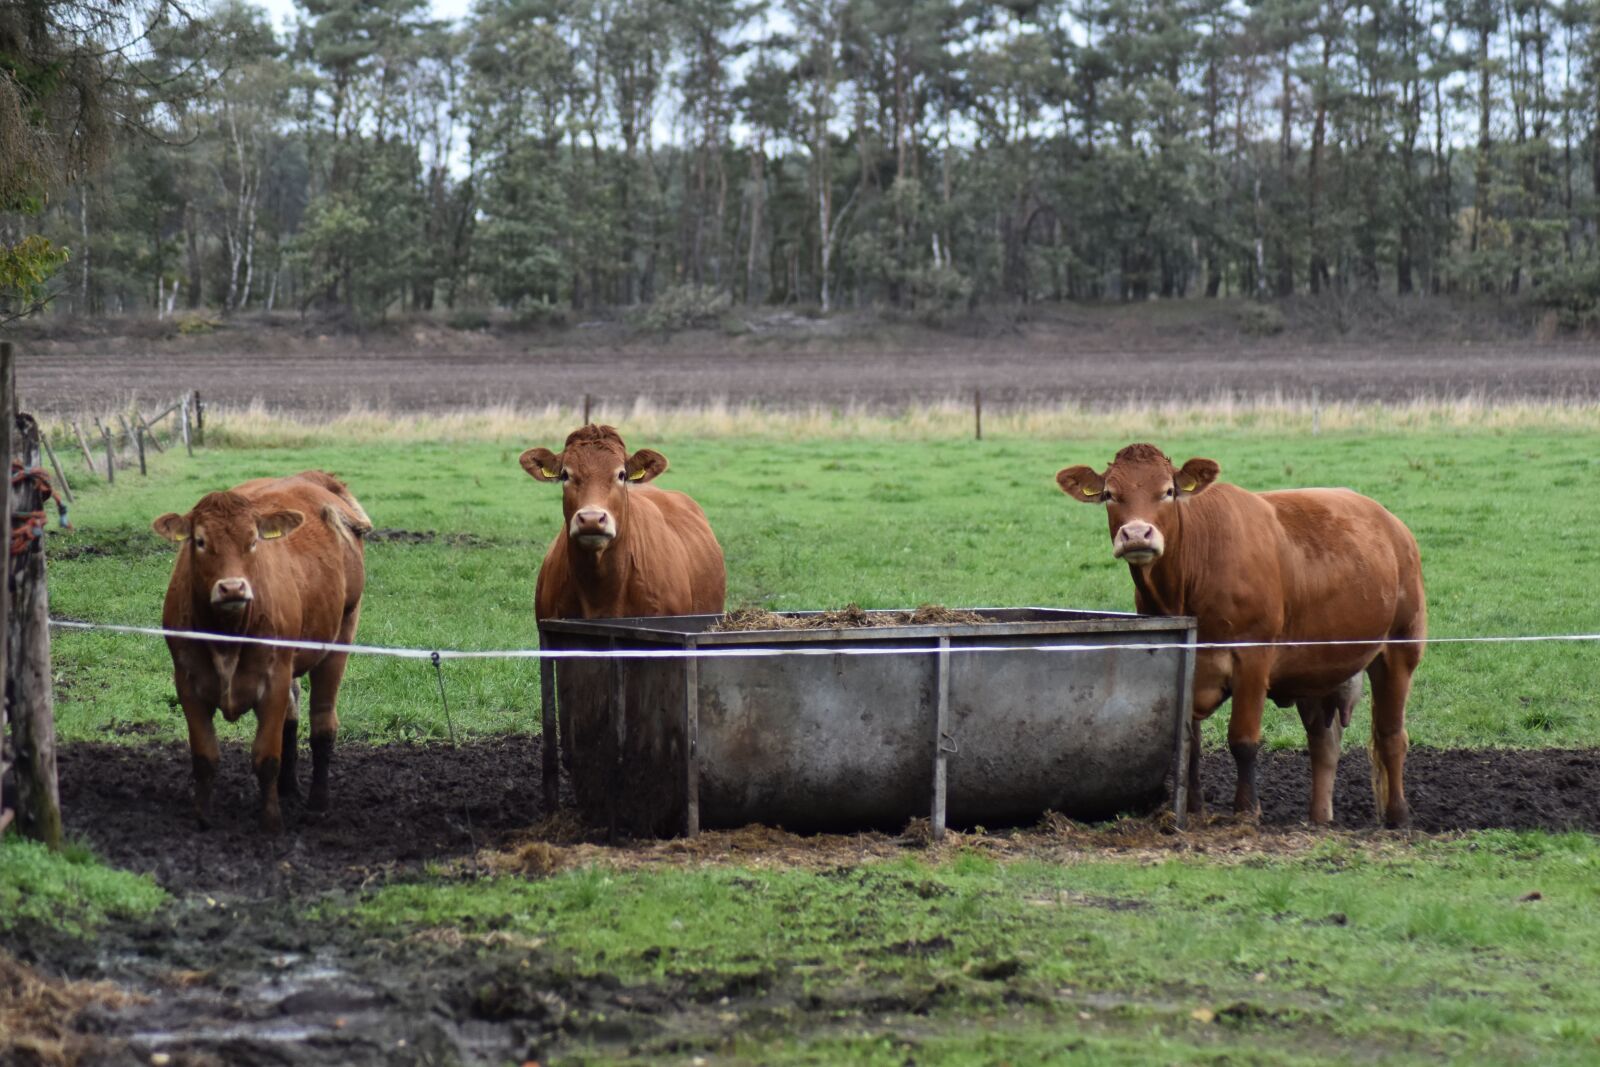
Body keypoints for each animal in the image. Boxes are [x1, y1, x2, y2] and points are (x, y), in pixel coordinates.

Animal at [152, 471, 371, 833]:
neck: (226, 635)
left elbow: (266, 756)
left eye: (253, 540)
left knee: (323, 722)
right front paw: (202, 816)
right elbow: (204, 755)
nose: (232, 588)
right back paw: (288, 788)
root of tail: (312, 478)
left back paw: (317, 803)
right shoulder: (187, 682)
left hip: (341, 636)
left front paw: (270, 820)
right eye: (200, 541)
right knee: (292, 718)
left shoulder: (273, 681)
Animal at [1056, 443, 1425, 828]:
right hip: (1315, 666)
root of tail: (1391, 524)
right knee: (1324, 742)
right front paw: (1193, 809)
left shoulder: (1253, 656)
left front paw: (1246, 811)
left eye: (1168, 491)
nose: (1137, 535)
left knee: (1391, 734)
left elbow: (1243, 739)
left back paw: (1398, 817)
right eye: (1110, 495)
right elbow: (1189, 743)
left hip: (1400, 648)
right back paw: (1318, 820)